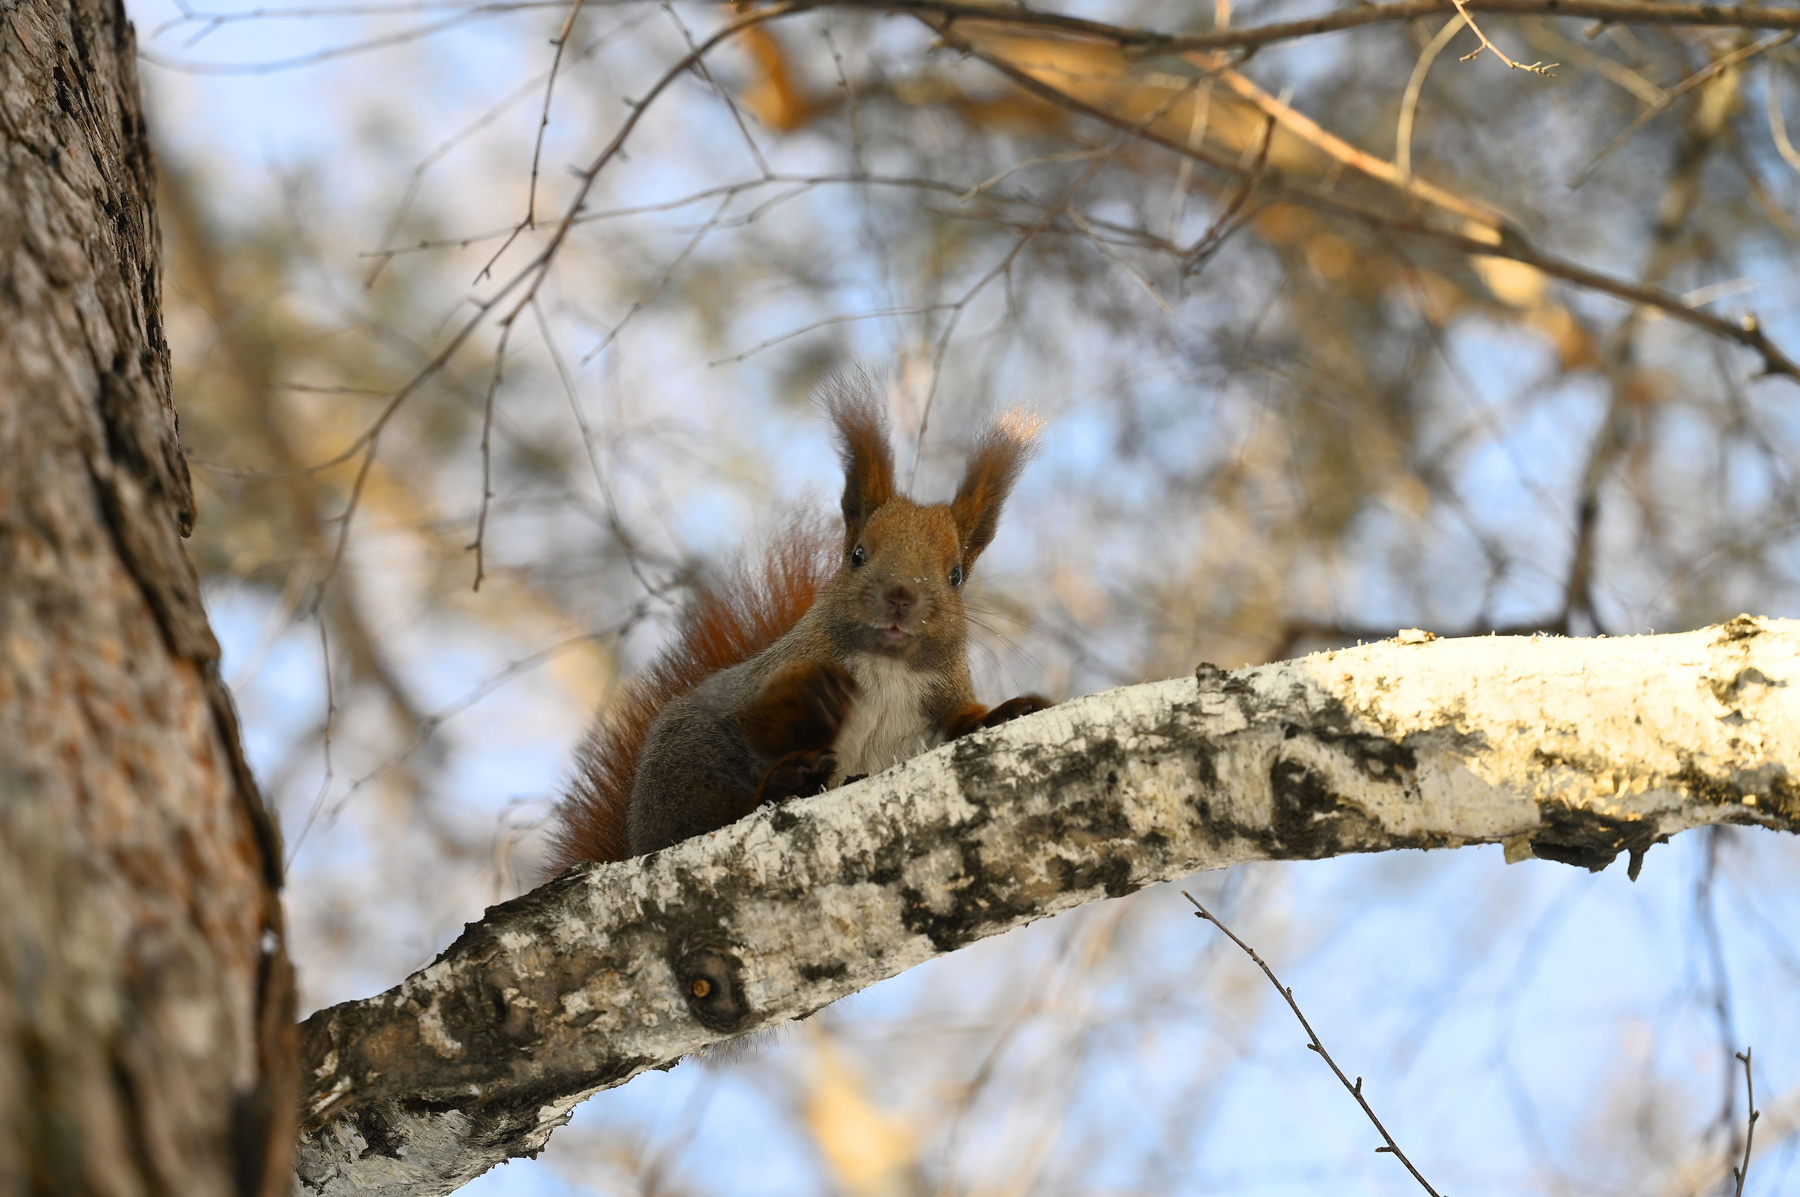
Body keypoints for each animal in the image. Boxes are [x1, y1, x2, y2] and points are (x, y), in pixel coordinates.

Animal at [549, 374, 1051, 867]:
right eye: (857, 555)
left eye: (956, 576)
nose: (900, 596)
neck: (888, 670)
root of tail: (633, 838)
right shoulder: (765, 680)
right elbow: (762, 718)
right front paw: (812, 697)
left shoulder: (940, 706)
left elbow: (962, 723)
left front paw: (1005, 712)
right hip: (687, 759)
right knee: (714, 816)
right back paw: (789, 781)